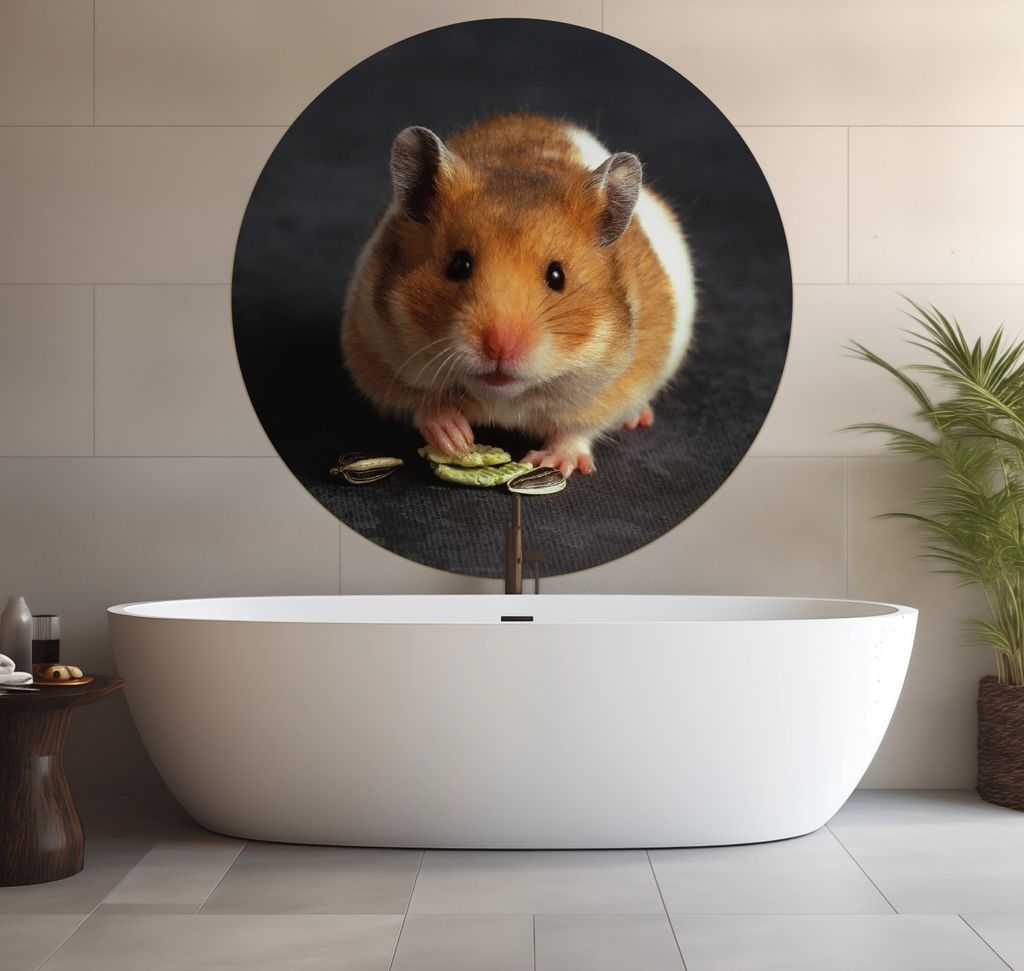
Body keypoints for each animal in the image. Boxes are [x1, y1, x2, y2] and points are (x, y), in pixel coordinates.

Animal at [341, 112, 696, 477]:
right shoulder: (372, 347)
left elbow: (577, 429)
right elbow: (421, 403)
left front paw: (551, 462)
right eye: (458, 265)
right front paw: (456, 439)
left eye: (557, 276)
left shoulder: (617, 384)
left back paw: (638, 418)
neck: (503, 395)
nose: (500, 347)